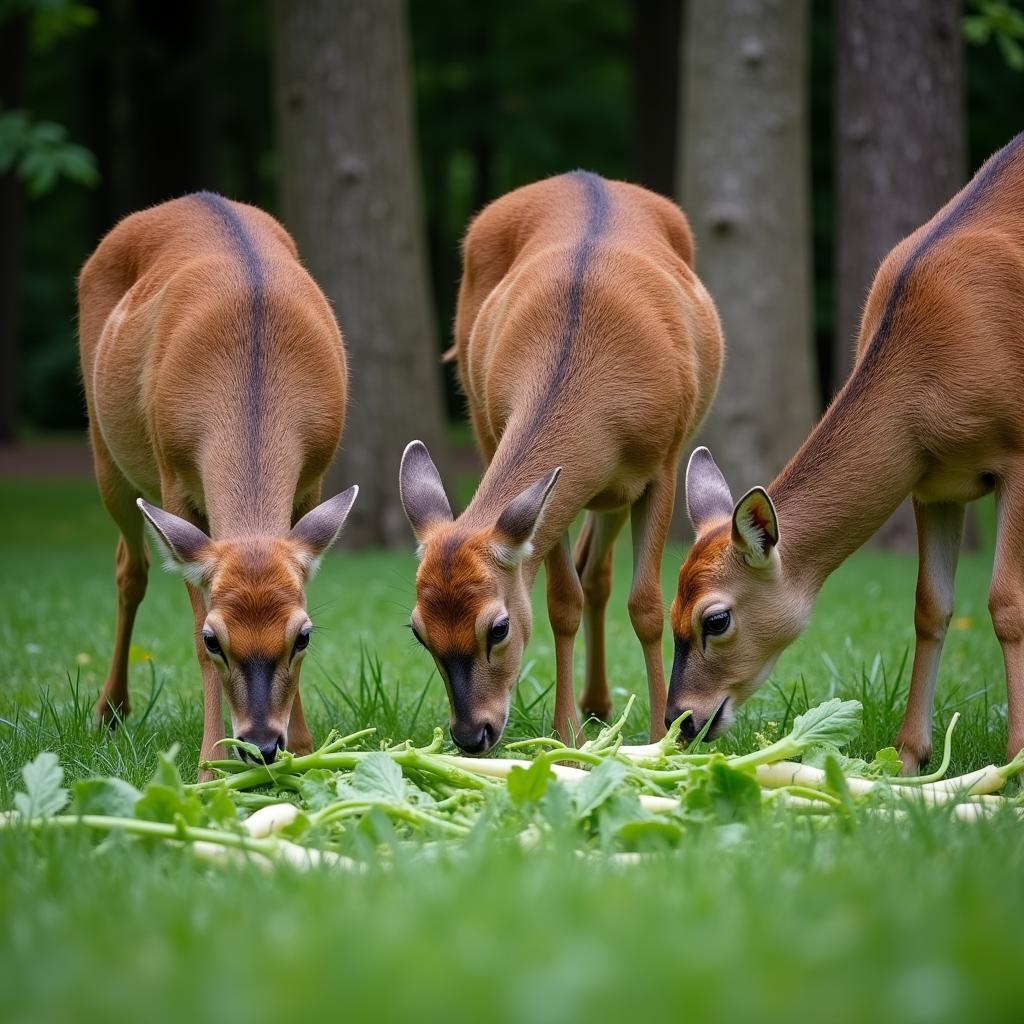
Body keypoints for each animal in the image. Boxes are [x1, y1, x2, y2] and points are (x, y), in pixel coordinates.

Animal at [76, 192, 356, 770]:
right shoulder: (173, 478)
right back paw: (109, 709)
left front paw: (305, 746)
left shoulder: (314, 479)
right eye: (214, 640)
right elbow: (189, 624)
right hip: (104, 450)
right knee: (129, 568)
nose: (262, 744)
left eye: (303, 636)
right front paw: (209, 764)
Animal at [395, 169, 724, 753]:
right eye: (418, 630)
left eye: (498, 627)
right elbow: (561, 602)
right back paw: (595, 704)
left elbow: (646, 605)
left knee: (602, 572)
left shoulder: (663, 463)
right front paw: (566, 732)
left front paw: (664, 732)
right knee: (591, 573)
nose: (472, 734)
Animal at [663, 130, 1024, 770]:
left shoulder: (1017, 450)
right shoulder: (935, 484)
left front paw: (1013, 760)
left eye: (717, 618)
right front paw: (907, 758)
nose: (682, 720)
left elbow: (1007, 603)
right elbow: (930, 605)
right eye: (670, 612)